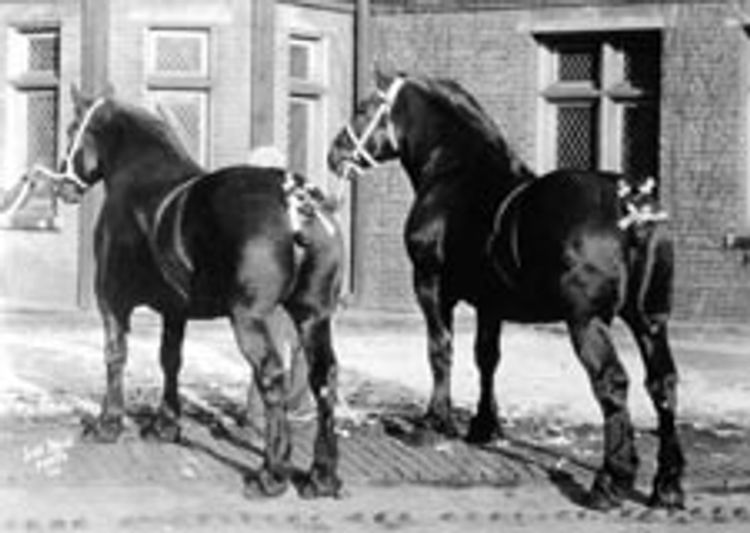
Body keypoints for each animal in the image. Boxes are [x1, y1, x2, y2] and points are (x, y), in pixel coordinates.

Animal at [56, 84, 344, 499]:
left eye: (72, 129)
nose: (62, 186)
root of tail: (293, 199)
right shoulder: (175, 311)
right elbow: (170, 360)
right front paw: (165, 425)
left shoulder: (111, 304)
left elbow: (115, 357)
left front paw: (108, 423)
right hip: (313, 317)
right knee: (324, 381)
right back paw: (322, 475)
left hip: (249, 318)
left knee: (271, 376)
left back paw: (271, 474)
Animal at [327, 71, 684, 510]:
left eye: (364, 107)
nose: (335, 153)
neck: (455, 172)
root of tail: (629, 204)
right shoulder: (490, 304)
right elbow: (487, 358)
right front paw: (484, 426)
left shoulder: (431, 286)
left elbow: (440, 350)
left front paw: (434, 422)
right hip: (649, 319)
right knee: (663, 384)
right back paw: (666, 486)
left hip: (587, 322)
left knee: (612, 383)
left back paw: (609, 481)